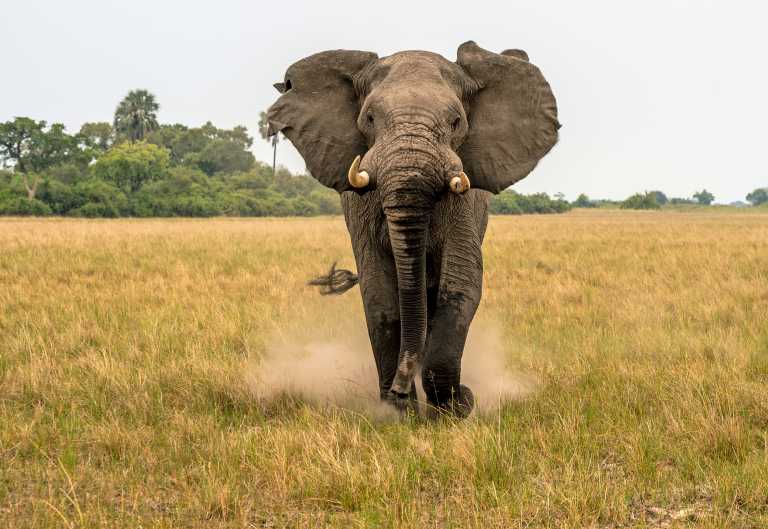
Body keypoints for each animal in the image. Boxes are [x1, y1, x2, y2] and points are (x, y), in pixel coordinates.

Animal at [267, 41, 559, 417]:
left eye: (456, 121)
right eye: (370, 118)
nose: (399, 391)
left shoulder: (465, 202)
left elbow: (461, 283)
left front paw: (450, 410)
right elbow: (379, 295)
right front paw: (398, 414)